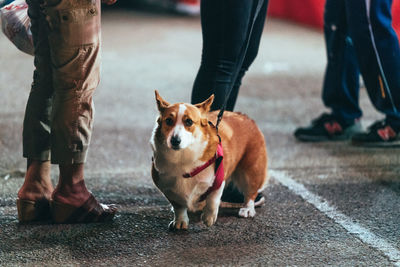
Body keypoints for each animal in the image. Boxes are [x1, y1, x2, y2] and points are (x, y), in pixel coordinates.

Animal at [151, 91, 268, 230]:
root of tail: (245, 116)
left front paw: (209, 218)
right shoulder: (168, 188)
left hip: (251, 170)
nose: (175, 140)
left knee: (251, 191)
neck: (182, 156)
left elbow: (213, 199)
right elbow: (179, 206)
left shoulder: (219, 179)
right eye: (168, 121)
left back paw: (247, 209)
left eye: (189, 122)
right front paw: (180, 221)